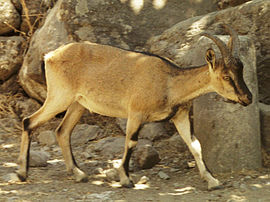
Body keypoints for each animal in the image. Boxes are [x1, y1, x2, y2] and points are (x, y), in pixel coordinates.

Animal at [16, 24, 253, 189]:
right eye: (226, 75)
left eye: (241, 70)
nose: (247, 98)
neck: (169, 82)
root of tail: (49, 56)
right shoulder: (136, 113)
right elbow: (131, 142)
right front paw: (126, 179)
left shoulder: (180, 115)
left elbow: (195, 145)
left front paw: (212, 181)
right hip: (59, 96)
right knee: (29, 121)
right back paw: (22, 173)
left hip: (78, 104)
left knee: (62, 131)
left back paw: (78, 174)